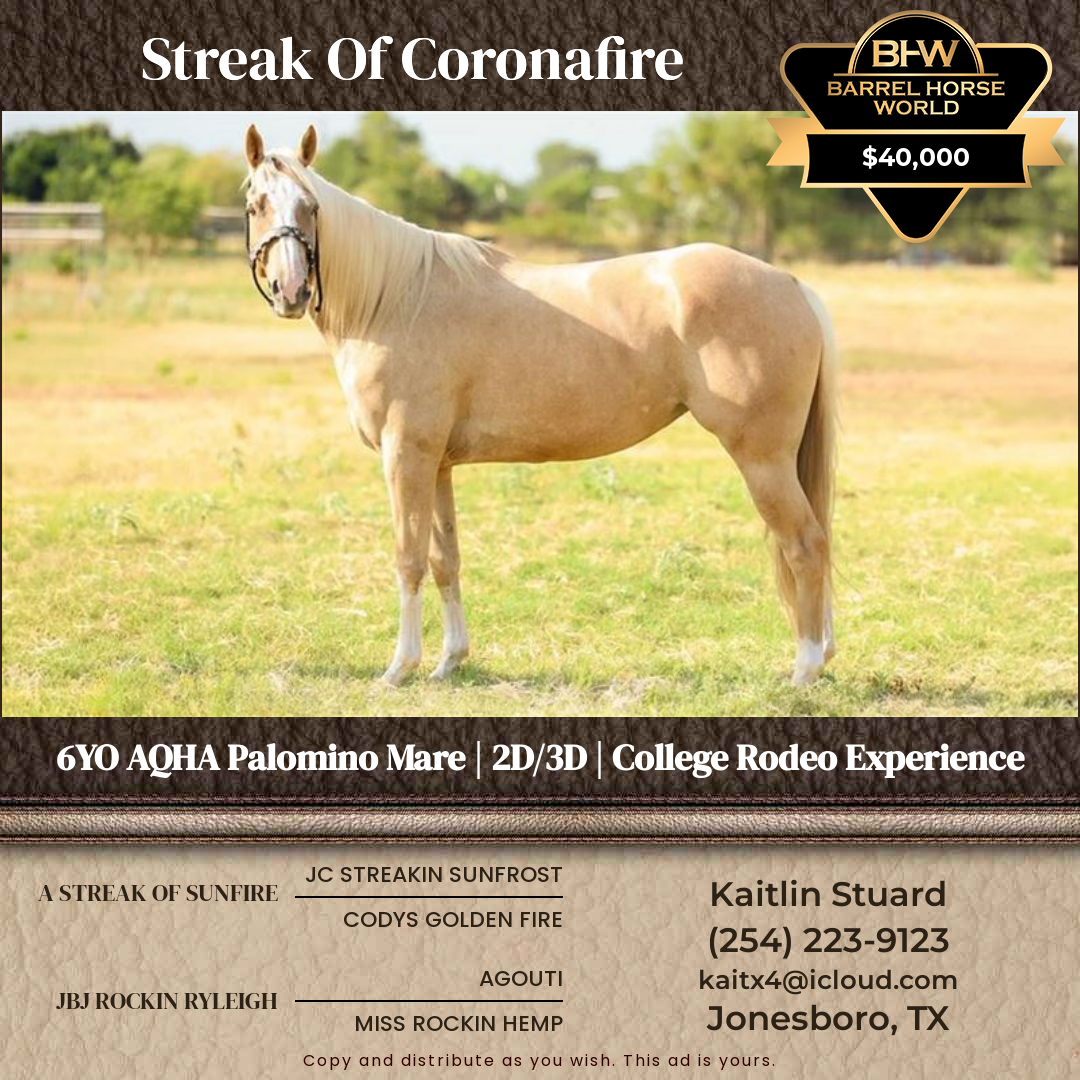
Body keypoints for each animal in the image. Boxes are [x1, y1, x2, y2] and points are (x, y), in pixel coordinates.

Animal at [242, 124, 838, 687]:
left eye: (311, 206)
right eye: (256, 204)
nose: (291, 290)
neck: (397, 300)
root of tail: (792, 285)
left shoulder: (405, 455)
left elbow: (408, 558)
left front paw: (399, 669)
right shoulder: (436, 464)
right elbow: (444, 559)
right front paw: (449, 662)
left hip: (762, 459)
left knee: (805, 543)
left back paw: (805, 668)